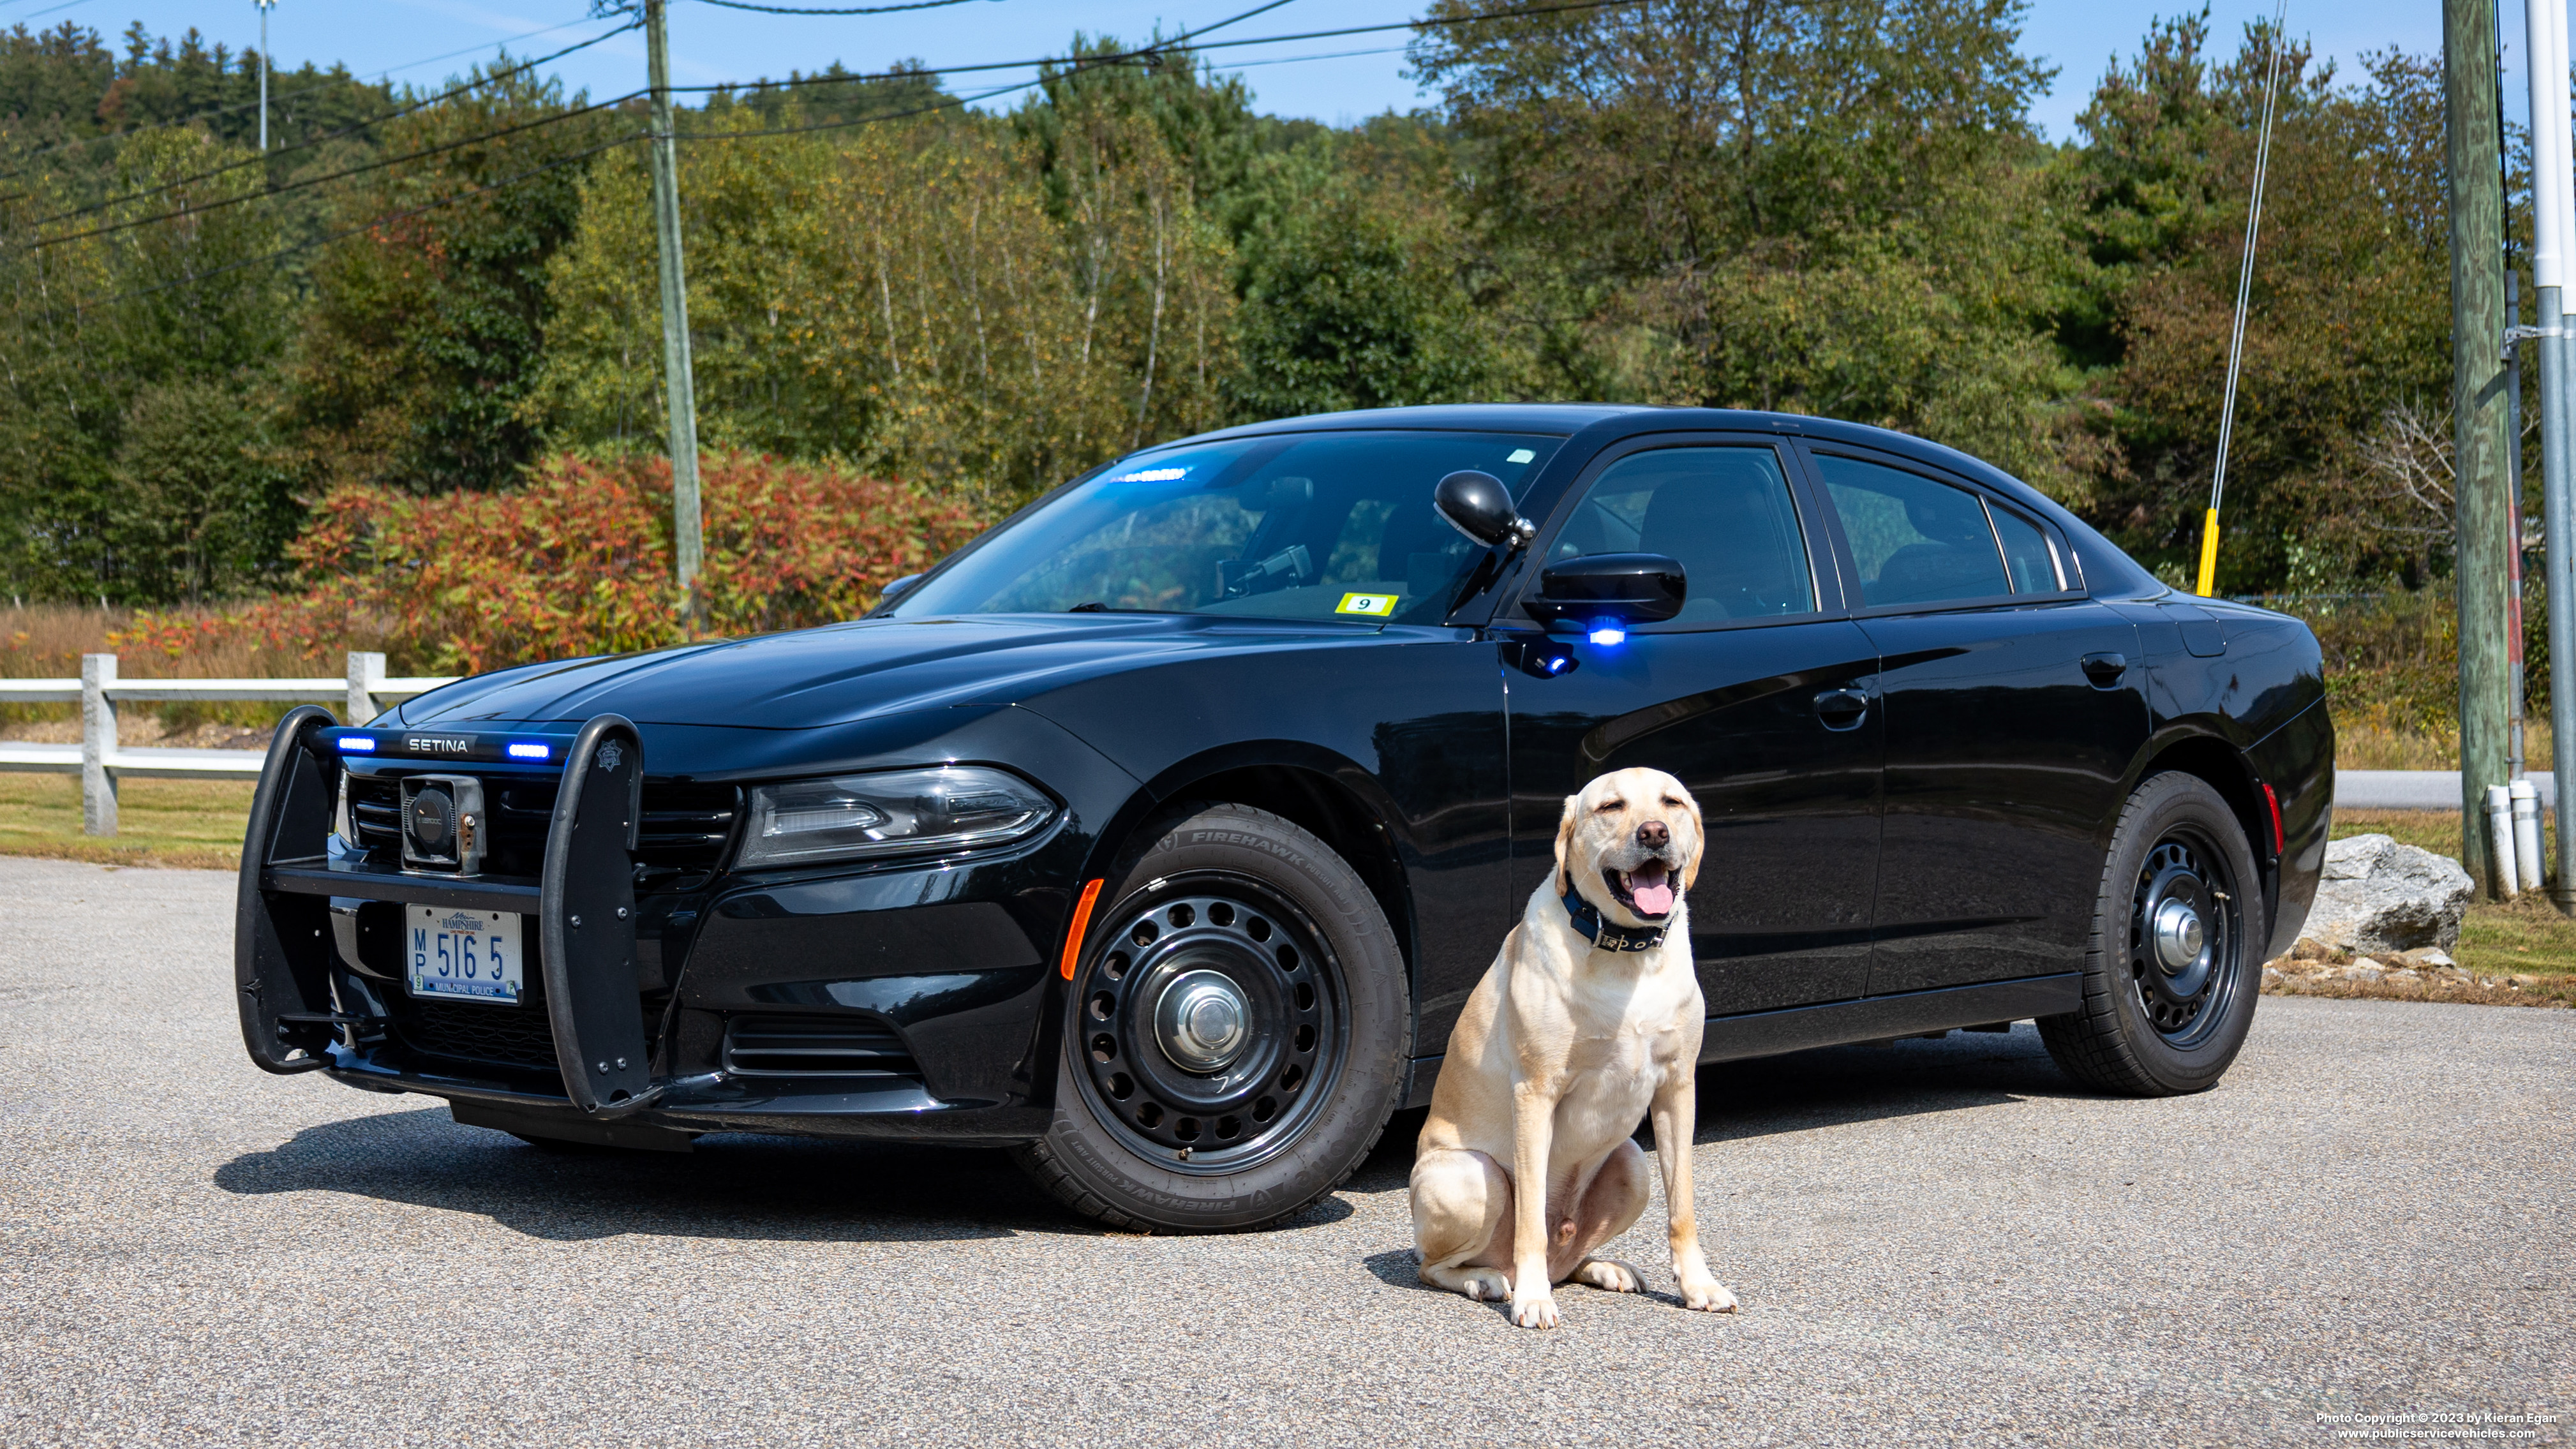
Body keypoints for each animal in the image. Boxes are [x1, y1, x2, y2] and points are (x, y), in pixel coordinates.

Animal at [1411, 767, 1731, 1328]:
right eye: (1610, 806)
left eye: (1670, 802)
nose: (1653, 833)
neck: (1626, 952)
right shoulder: (1536, 1093)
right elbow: (1530, 1223)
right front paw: (1533, 1299)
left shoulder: (1677, 1088)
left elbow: (1683, 1207)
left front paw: (1698, 1285)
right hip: (1472, 1175)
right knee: (1436, 1265)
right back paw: (1487, 1279)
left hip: (1632, 1163)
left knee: (1570, 1257)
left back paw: (1603, 1267)